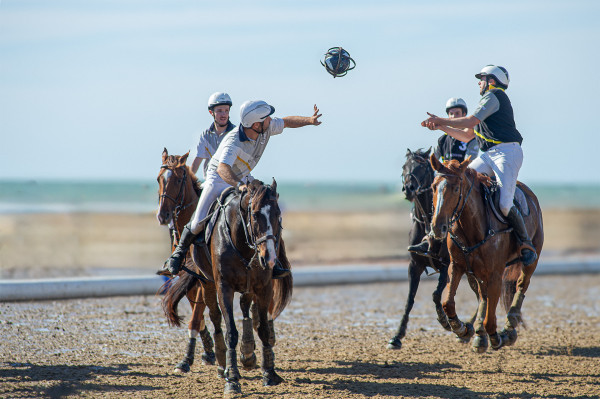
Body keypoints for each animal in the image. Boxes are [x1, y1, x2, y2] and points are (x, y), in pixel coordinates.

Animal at [426, 155, 544, 352]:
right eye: (433, 186)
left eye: (456, 188)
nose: (437, 227)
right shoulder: (457, 266)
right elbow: (448, 303)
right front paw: (462, 328)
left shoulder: (495, 273)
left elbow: (491, 316)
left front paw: (497, 337)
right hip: (478, 272)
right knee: (483, 296)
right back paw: (480, 335)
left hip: (532, 260)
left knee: (521, 286)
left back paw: (509, 328)